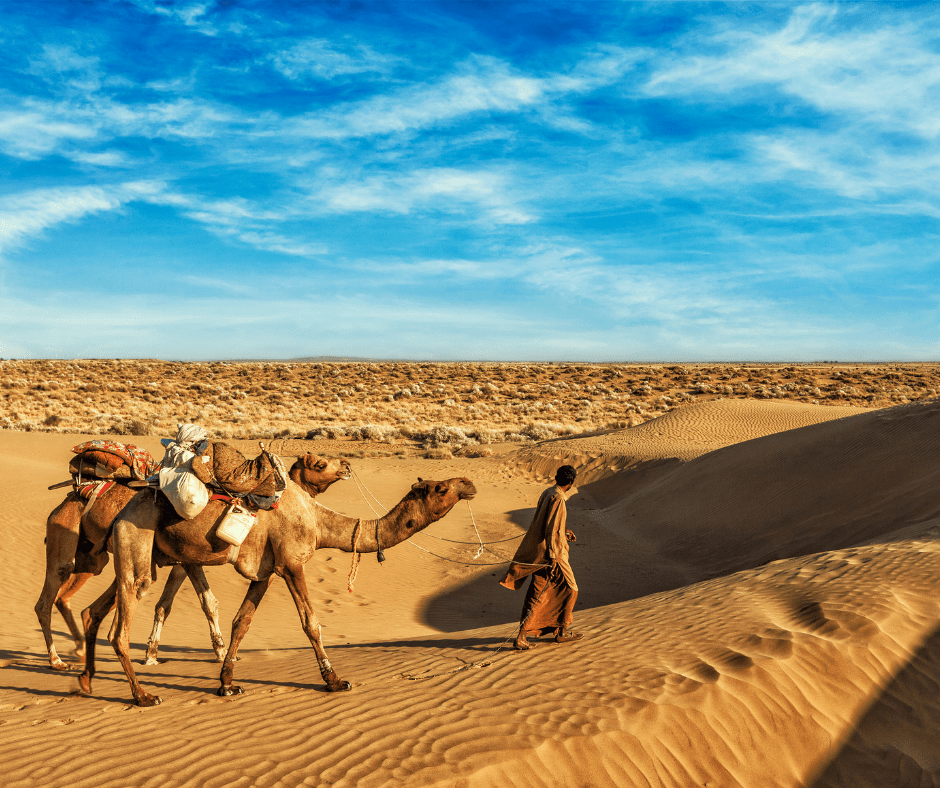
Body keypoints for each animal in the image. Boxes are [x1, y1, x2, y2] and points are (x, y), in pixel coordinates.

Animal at [33, 456, 350, 672]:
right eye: (321, 464)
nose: (346, 465)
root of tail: (68, 499)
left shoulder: (182, 561)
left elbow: (169, 603)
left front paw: (152, 653)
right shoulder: (185, 560)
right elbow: (201, 603)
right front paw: (219, 652)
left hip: (92, 559)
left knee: (78, 600)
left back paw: (80, 649)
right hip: (66, 542)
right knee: (48, 599)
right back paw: (57, 659)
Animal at [78, 474, 478, 708]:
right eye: (442, 488)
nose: (469, 483)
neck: (317, 520)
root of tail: (120, 511)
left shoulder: (265, 573)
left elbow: (242, 621)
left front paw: (227, 685)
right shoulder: (291, 563)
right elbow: (310, 623)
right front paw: (335, 681)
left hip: (141, 553)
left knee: (93, 610)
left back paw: (86, 681)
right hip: (137, 542)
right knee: (120, 628)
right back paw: (143, 695)